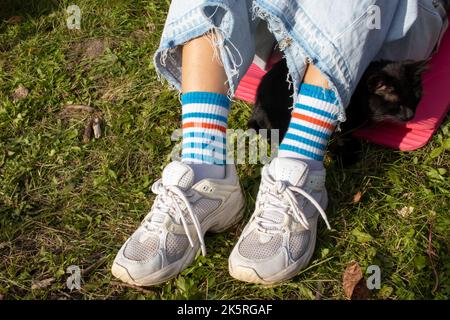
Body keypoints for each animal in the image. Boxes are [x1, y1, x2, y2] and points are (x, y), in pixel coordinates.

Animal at [250, 58, 428, 166]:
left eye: (414, 100)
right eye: (396, 104)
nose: (410, 115)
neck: (359, 94)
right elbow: (345, 138)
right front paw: (347, 158)